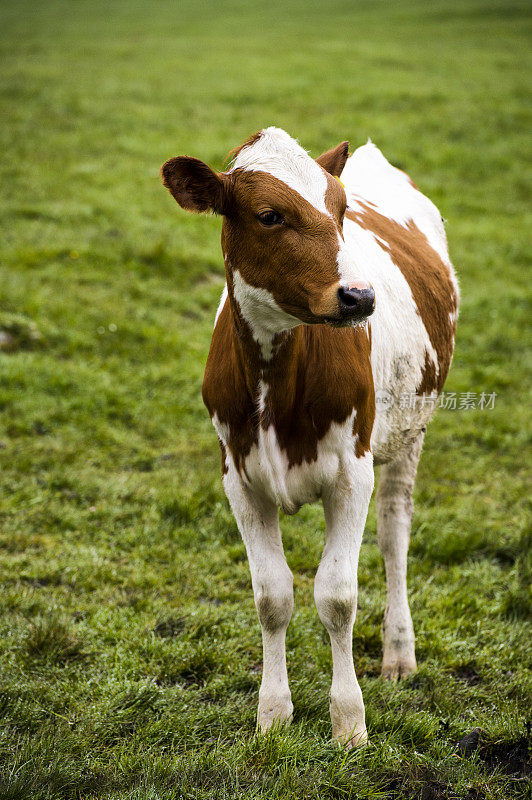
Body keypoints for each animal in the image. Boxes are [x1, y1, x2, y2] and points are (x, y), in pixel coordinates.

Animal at [161, 128, 458, 748]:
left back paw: (398, 654)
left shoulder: (352, 472)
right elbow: (272, 596)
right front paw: (273, 714)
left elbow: (337, 595)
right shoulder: (239, 480)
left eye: (341, 209)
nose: (359, 297)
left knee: (394, 535)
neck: (276, 383)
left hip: (411, 432)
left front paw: (349, 721)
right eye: (270, 215)